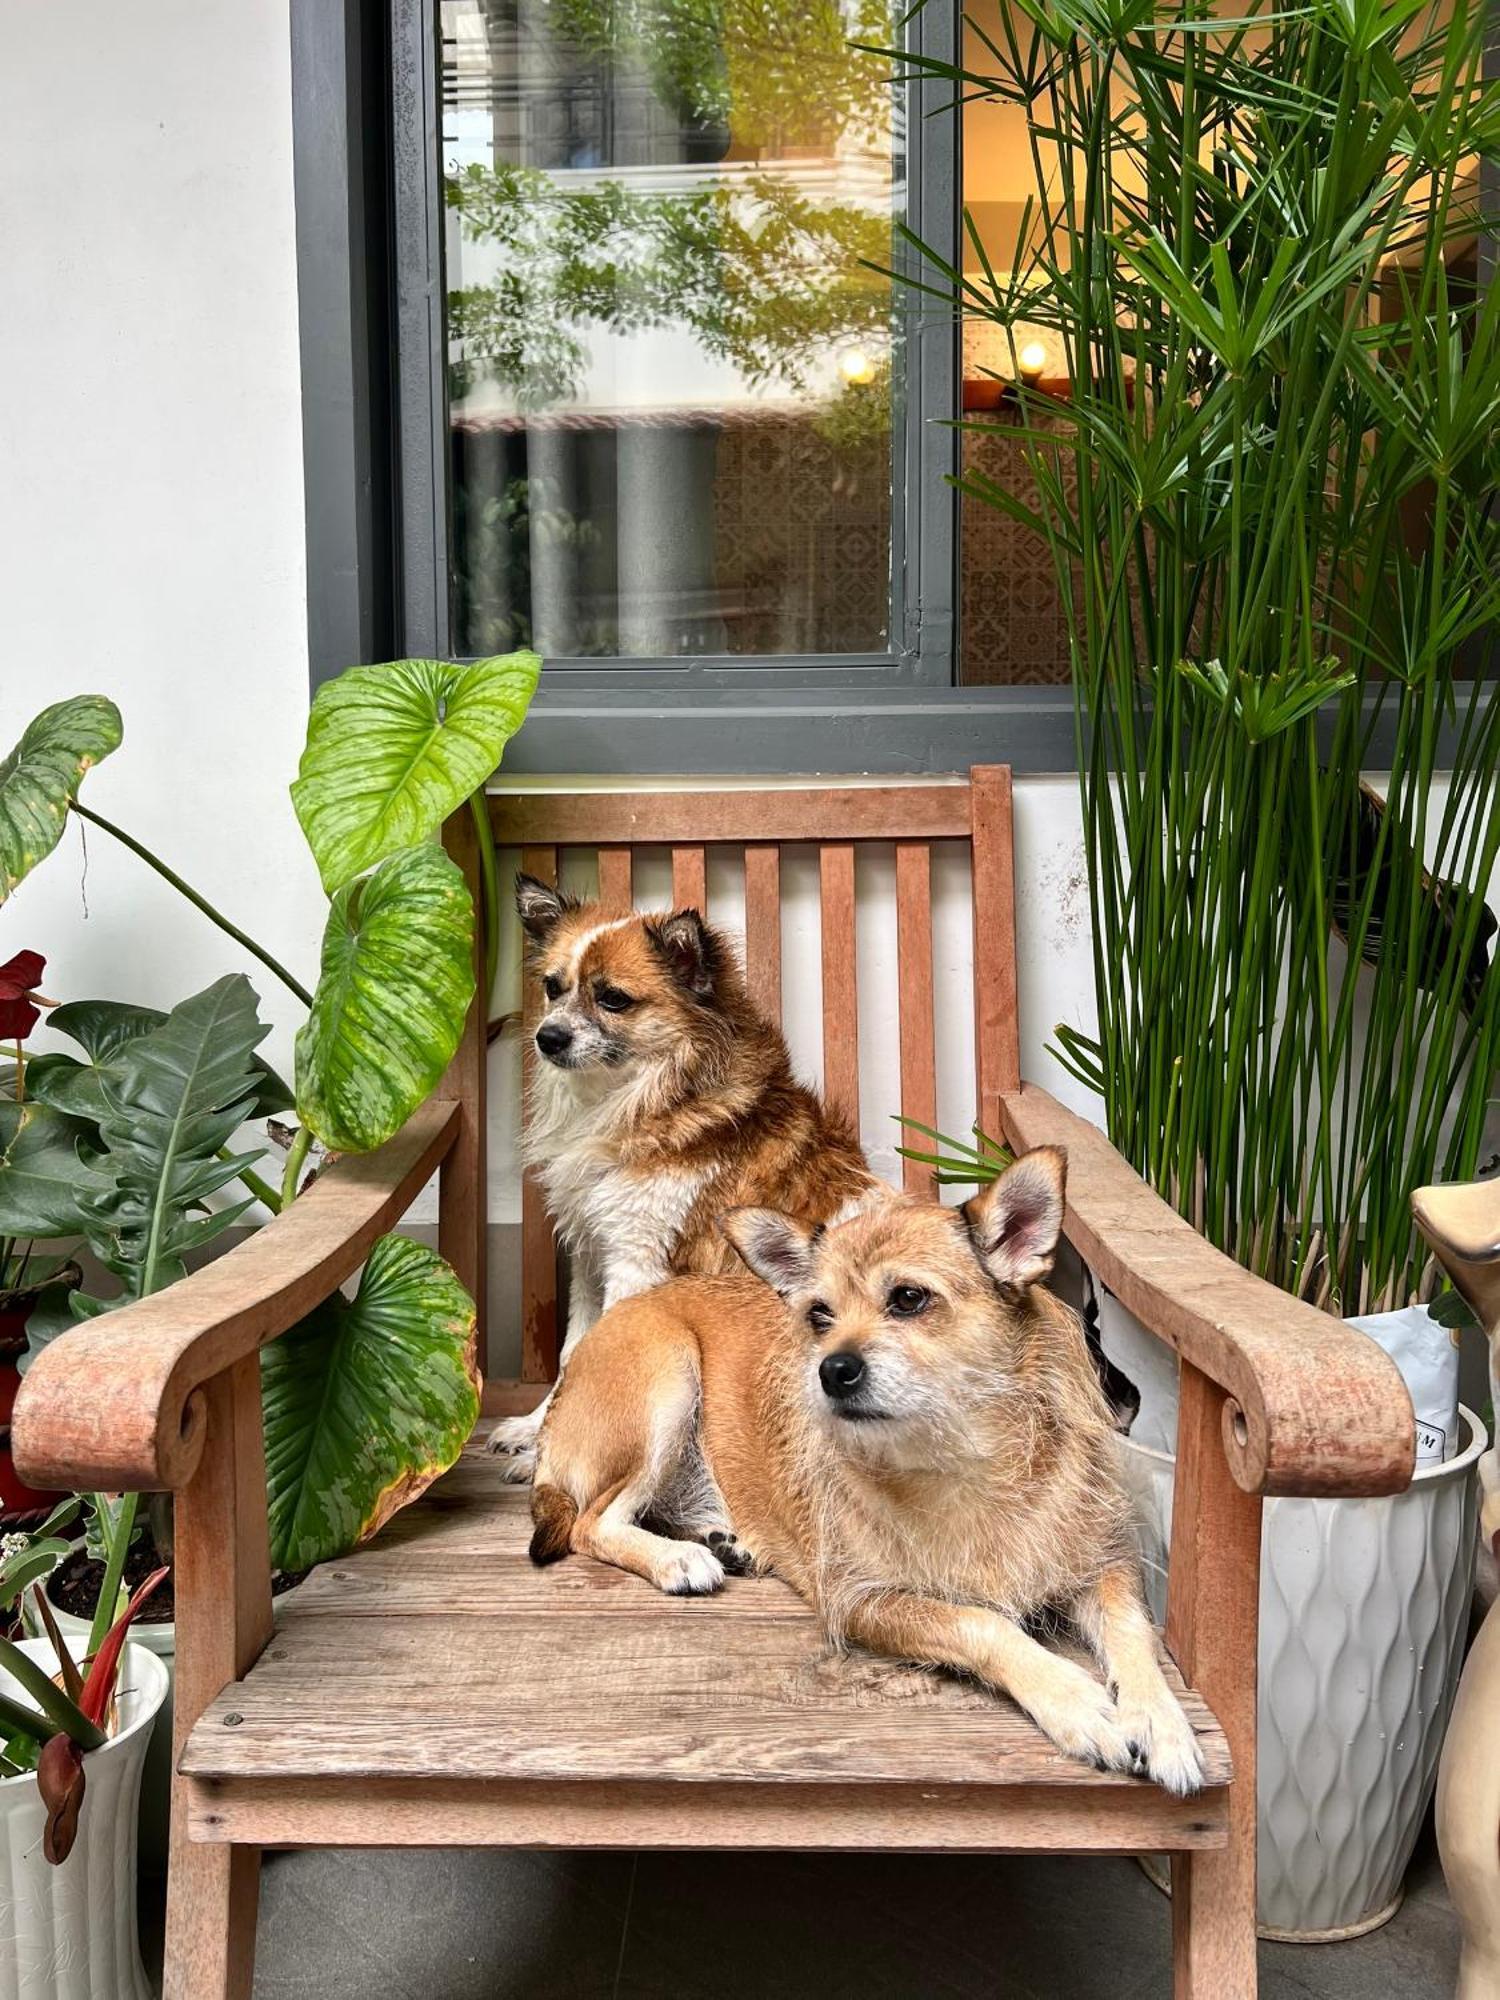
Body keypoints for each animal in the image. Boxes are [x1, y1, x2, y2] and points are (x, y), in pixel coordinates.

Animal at [488, 876, 876, 1472]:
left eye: (613, 999)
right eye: (553, 987)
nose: (548, 1038)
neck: (636, 1098)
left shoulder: (637, 1259)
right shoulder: (592, 1255)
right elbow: (574, 1351)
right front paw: (536, 1431)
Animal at [528, 1144, 1208, 1800]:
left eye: (908, 1298)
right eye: (818, 1316)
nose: (830, 1370)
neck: (958, 1458)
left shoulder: (1103, 1564)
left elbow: (1133, 1634)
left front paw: (1162, 1723)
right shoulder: (863, 1602)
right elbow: (982, 1623)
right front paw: (1078, 1704)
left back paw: (722, 1539)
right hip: (667, 1378)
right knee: (591, 1521)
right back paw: (678, 1558)